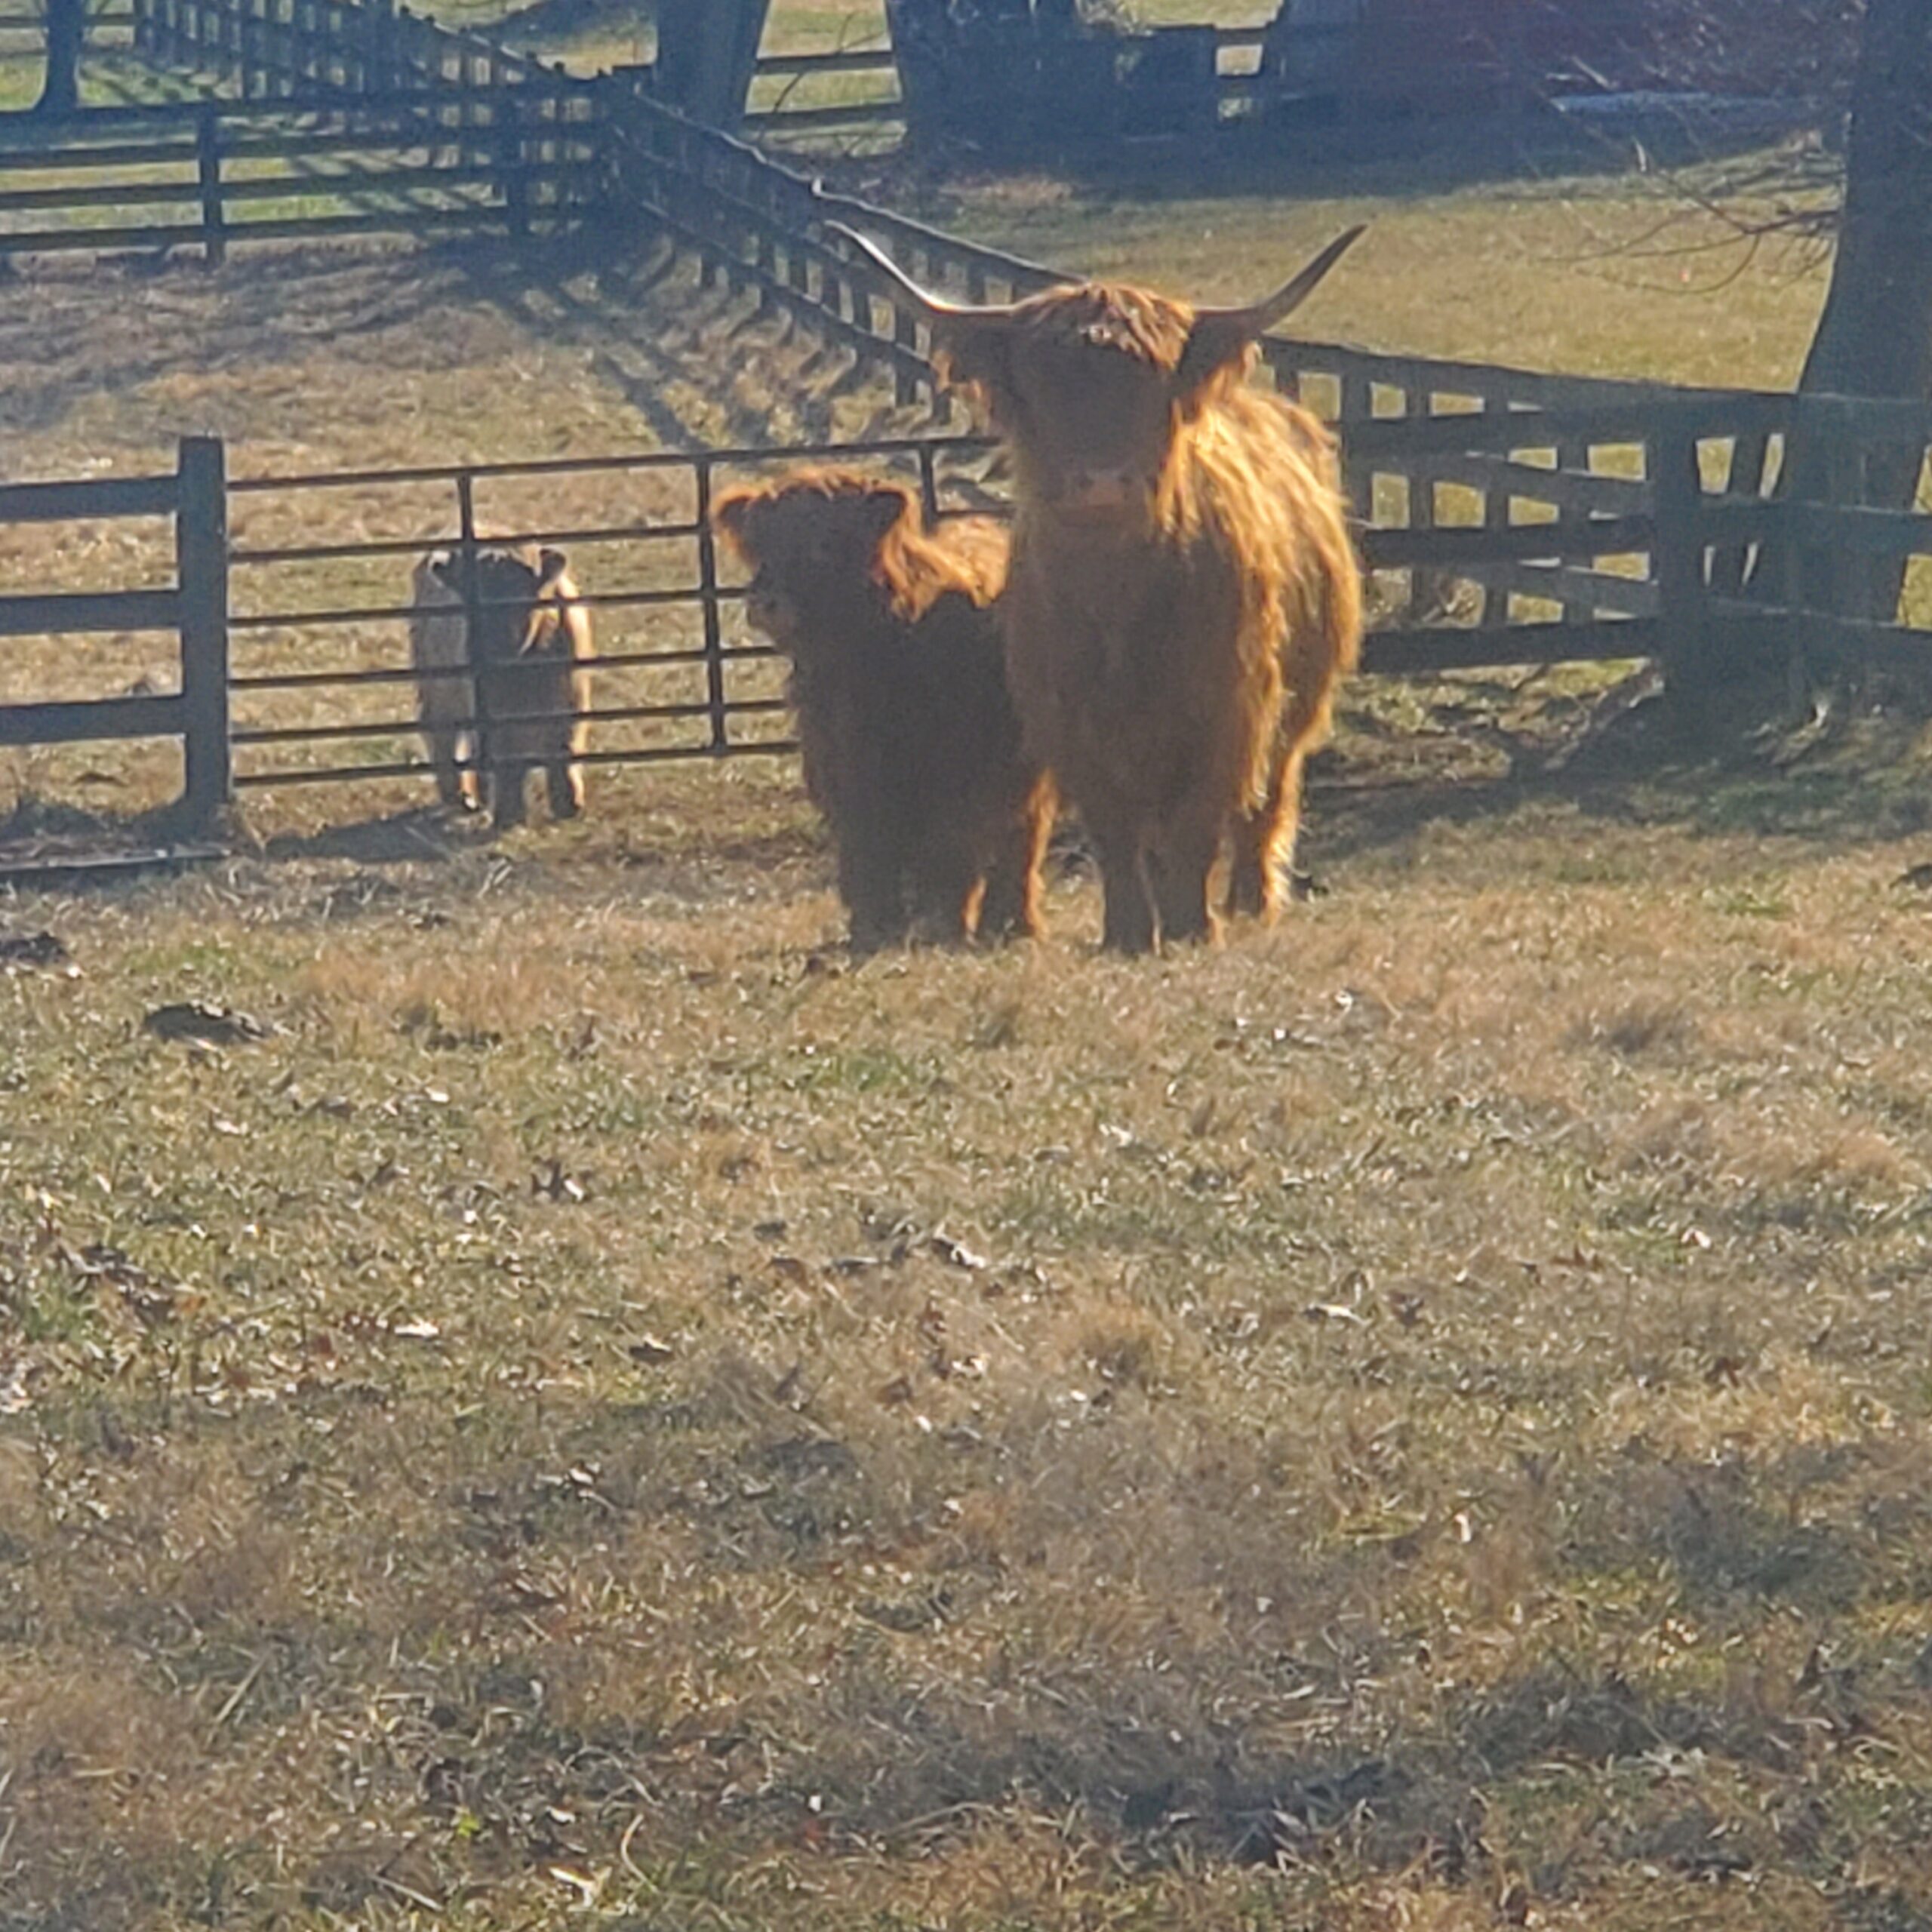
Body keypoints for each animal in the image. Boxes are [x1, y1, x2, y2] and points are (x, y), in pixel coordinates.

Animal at [409, 544, 593, 831]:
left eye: (520, 592)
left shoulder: (571, 705)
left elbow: (565, 749)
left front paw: (569, 804)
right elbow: (507, 764)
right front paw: (509, 814)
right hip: (437, 687)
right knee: (441, 731)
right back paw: (460, 794)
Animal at [712, 466, 1054, 953]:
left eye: (822, 542)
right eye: (761, 541)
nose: (765, 601)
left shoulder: (955, 776)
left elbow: (949, 854)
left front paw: (942, 924)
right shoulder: (847, 776)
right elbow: (867, 854)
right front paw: (873, 928)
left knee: (1019, 843)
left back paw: (1011, 924)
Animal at [828, 222, 1366, 954]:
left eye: (1156, 385)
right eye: (1040, 385)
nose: (1104, 482)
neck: (1118, 608)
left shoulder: (1225, 710)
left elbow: (1199, 825)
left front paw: (1194, 928)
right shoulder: (1071, 723)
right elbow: (1116, 832)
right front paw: (1130, 934)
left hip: (1295, 703)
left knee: (1267, 800)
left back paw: (1252, 900)